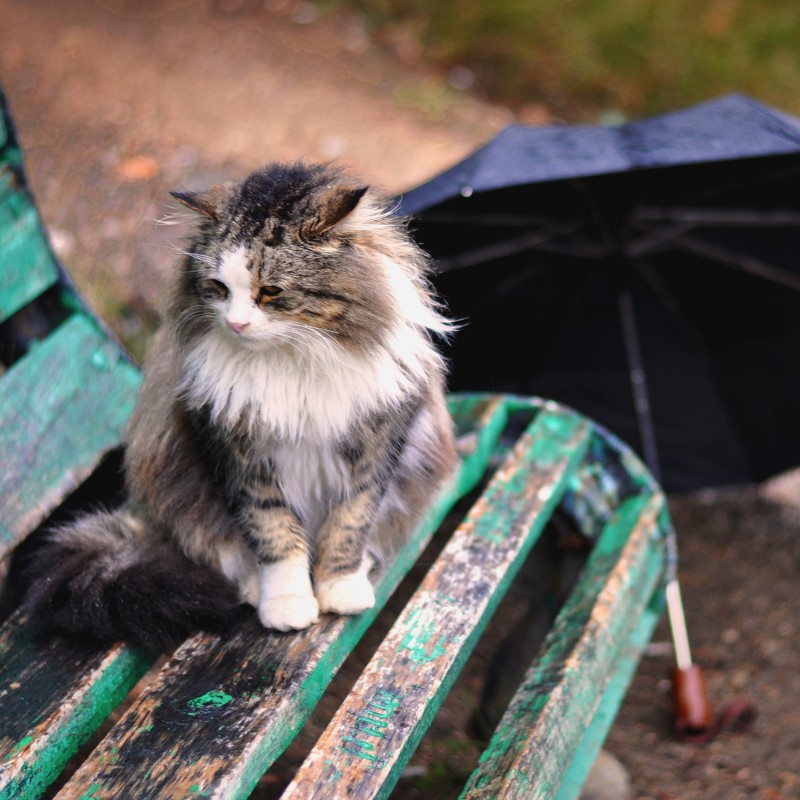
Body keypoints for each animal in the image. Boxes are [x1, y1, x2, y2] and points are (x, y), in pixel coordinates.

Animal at [18, 161, 456, 648]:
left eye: (270, 292)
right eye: (218, 288)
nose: (237, 324)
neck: (293, 361)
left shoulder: (376, 447)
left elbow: (349, 524)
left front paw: (339, 586)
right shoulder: (238, 454)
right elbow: (274, 535)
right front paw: (287, 603)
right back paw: (250, 586)